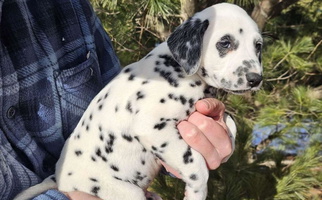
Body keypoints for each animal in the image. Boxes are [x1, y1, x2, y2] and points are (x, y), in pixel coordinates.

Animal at [13, 2, 262, 200]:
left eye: (258, 46)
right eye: (225, 43)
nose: (256, 79)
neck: (177, 68)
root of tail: (59, 178)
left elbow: (230, 122)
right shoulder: (153, 127)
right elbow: (196, 165)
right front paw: (196, 192)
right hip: (125, 192)